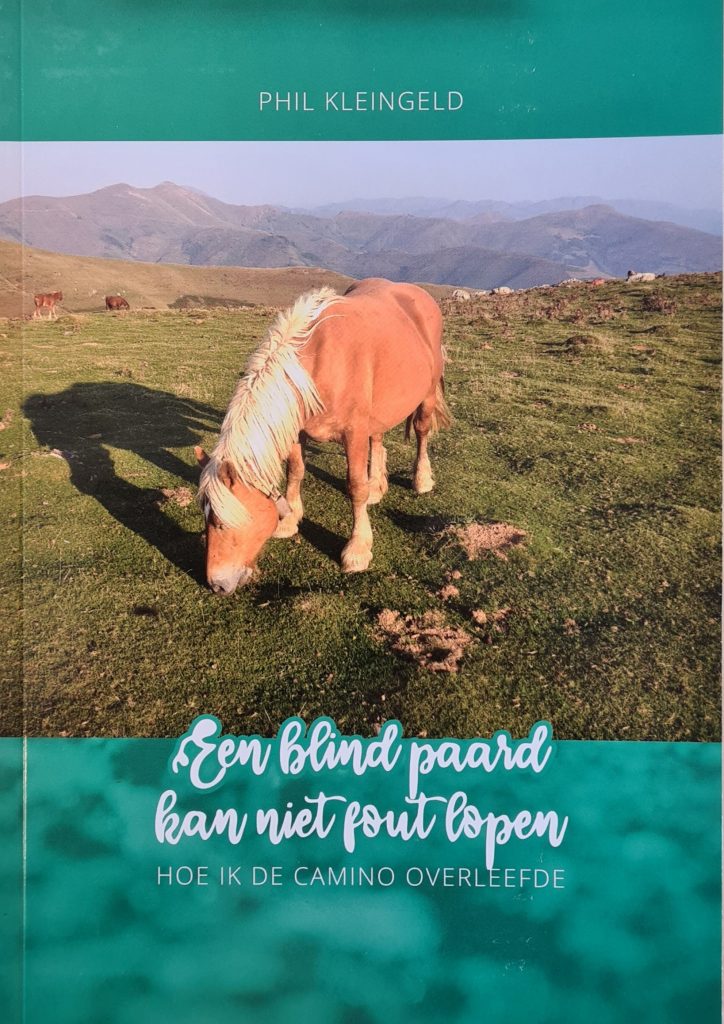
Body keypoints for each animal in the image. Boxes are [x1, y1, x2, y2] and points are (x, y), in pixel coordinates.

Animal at [195, 277, 450, 595]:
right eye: (205, 517)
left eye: (221, 522)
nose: (216, 584)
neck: (318, 362)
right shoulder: (296, 430)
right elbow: (295, 471)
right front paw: (290, 520)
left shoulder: (353, 434)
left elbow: (355, 488)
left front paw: (357, 549)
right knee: (377, 438)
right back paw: (377, 487)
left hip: (426, 397)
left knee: (421, 433)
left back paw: (421, 480)